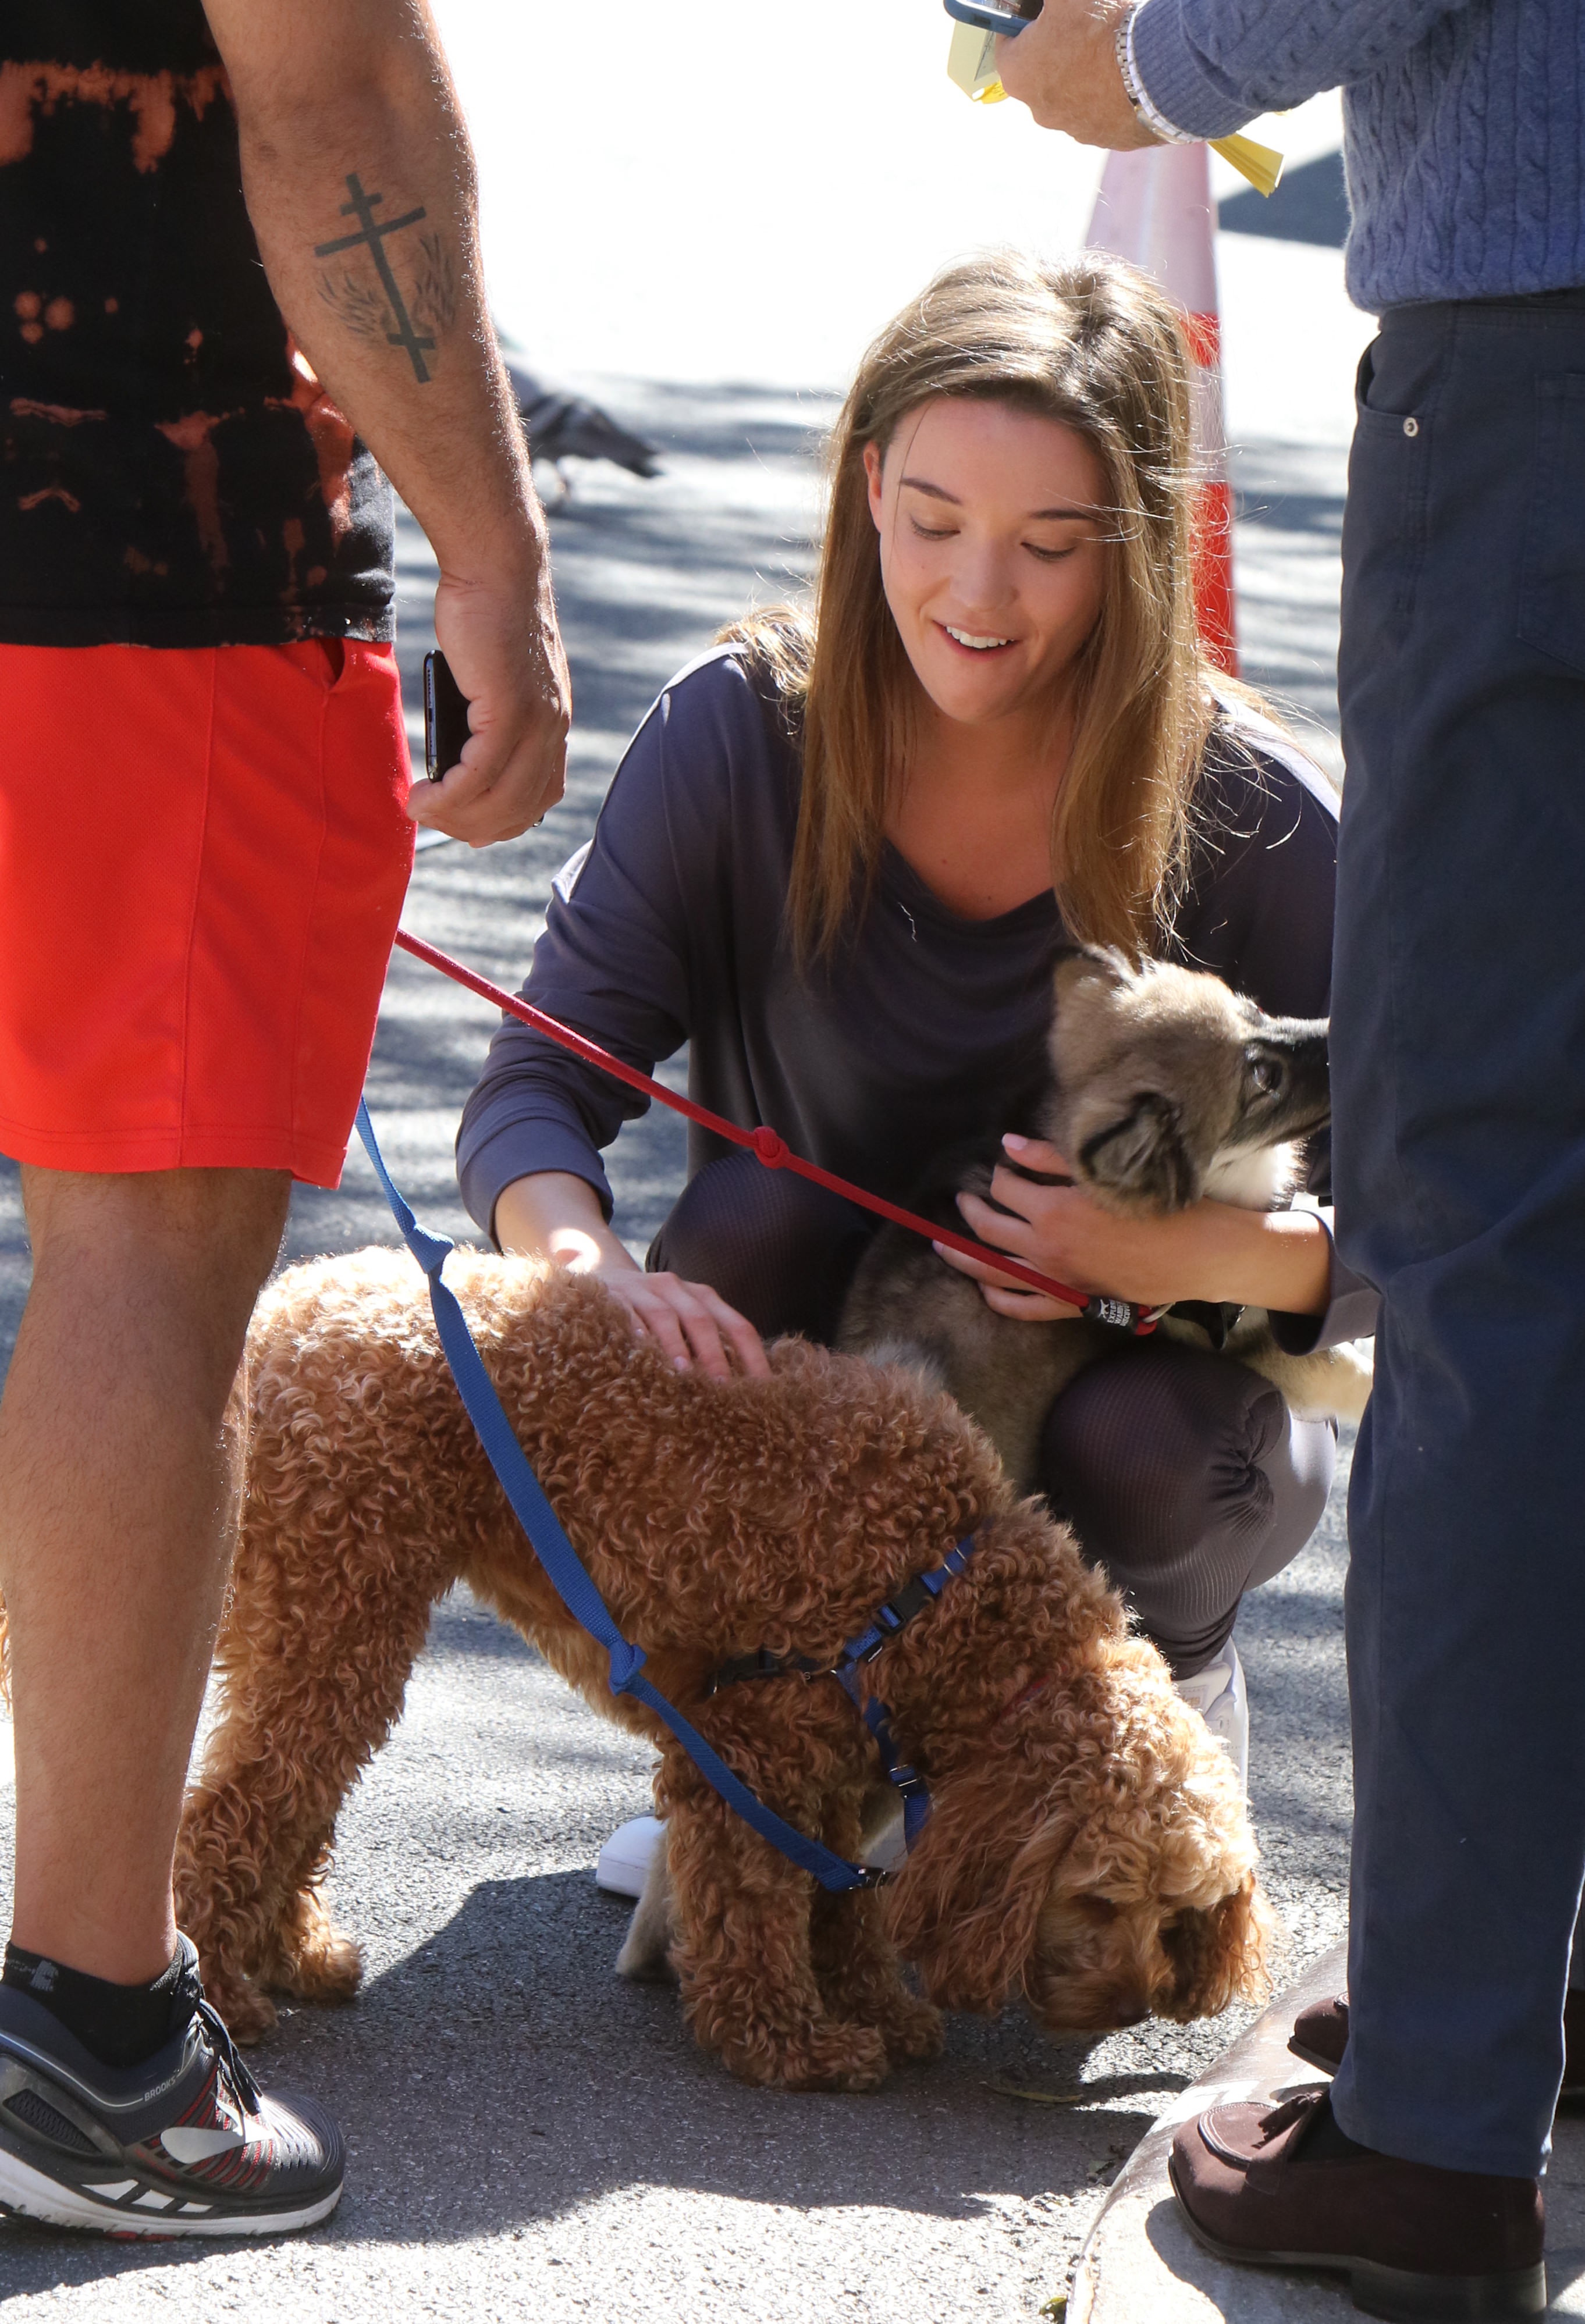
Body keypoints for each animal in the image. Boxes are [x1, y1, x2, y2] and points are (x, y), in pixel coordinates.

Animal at [173, 1255, 1264, 2091]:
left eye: (1178, 1915)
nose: (1126, 2008)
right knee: (236, 1811)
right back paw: (222, 1988)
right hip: (336, 1613)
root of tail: (292, 1303)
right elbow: (758, 1907)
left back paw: (294, 1955)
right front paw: (788, 2044)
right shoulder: (752, 1757)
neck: (948, 1592)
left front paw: (874, 2005)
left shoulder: (833, 1762)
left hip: (327, 1621)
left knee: (285, 1801)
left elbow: (845, 1897)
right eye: (1100, 1899)